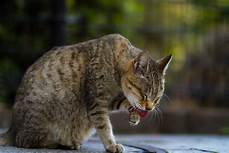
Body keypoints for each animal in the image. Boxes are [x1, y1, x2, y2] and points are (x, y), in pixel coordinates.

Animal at [0, 34, 172, 152]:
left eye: (157, 99)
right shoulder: (96, 101)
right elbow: (104, 126)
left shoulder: (107, 101)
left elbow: (123, 102)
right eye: (144, 95)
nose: (149, 108)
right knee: (24, 141)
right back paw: (63, 144)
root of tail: (12, 128)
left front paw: (134, 113)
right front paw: (111, 145)